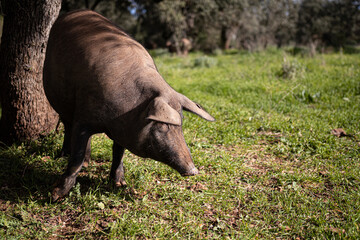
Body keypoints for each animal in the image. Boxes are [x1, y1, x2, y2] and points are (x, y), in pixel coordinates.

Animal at [43, 9, 215, 201]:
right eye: (163, 125)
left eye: (181, 124)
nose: (193, 170)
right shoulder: (83, 118)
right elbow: (76, 159)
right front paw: (54, 196)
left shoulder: (124, 128)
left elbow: (119, 153)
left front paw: (120, 184)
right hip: (60, 102)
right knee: (67, 126)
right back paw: (63, 156)